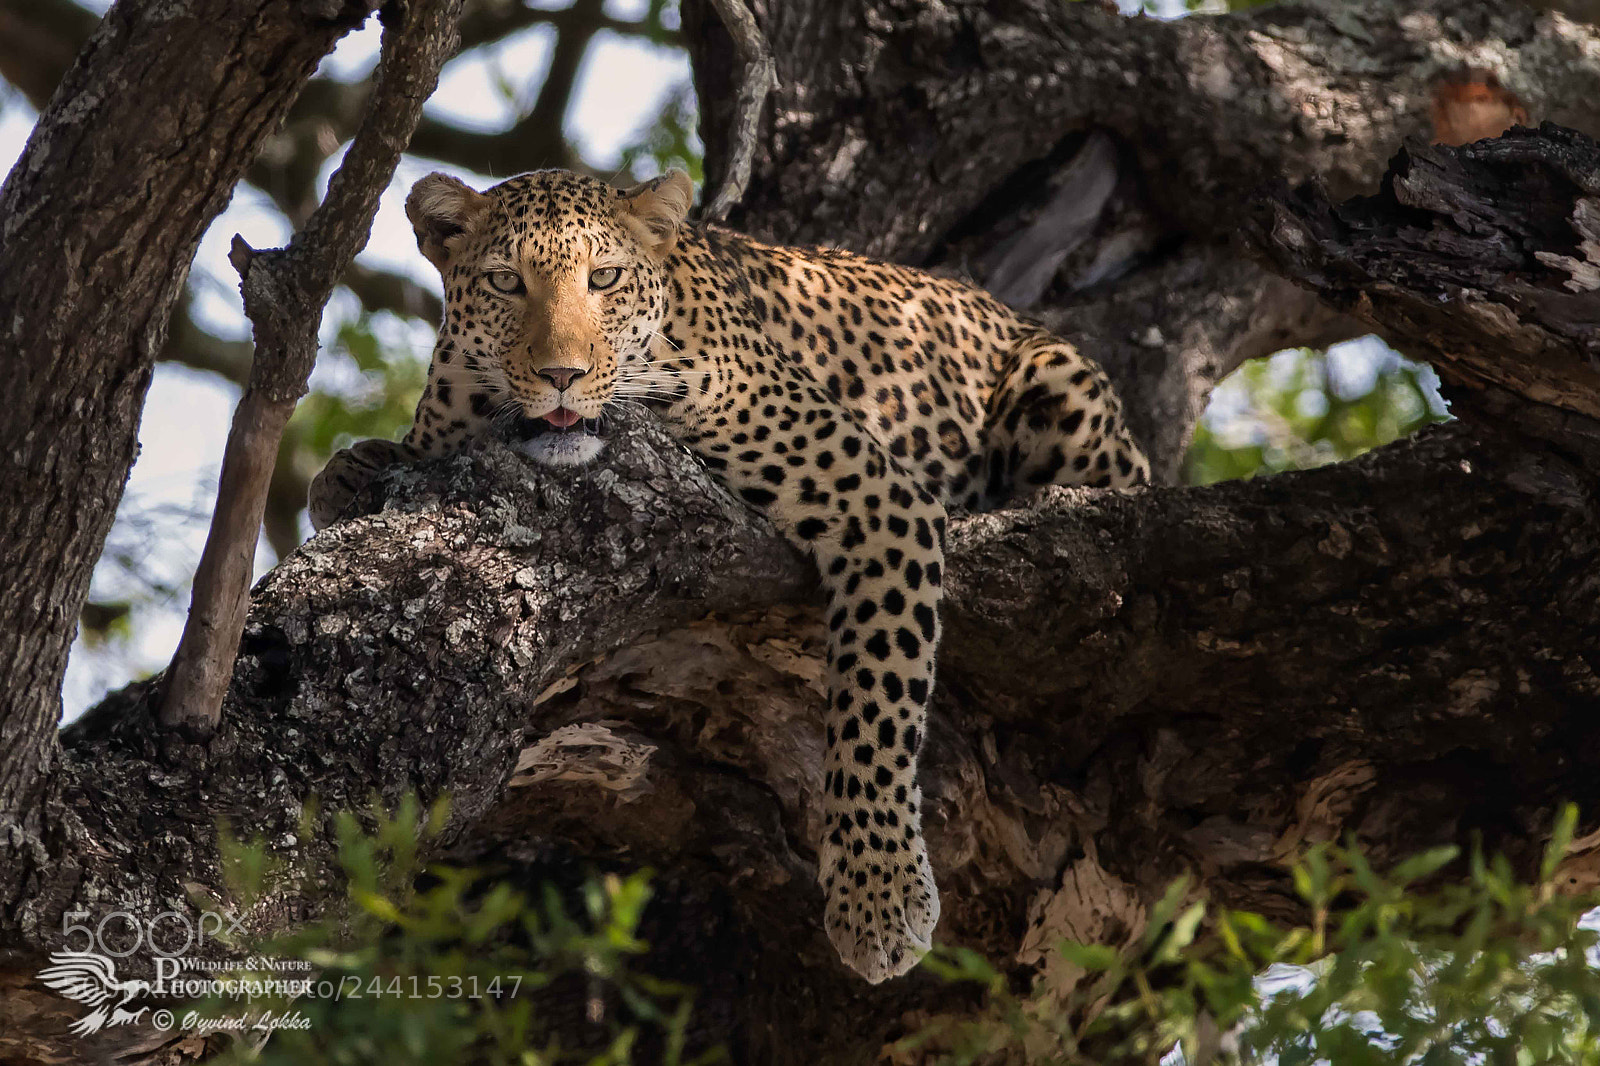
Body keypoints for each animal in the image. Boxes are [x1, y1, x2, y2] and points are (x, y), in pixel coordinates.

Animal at [308, 168, 1150, 983]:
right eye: (506, 282)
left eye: (604, 278)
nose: (560, 374)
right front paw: (350, 471)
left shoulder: (881, 495)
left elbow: (876, 702)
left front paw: (878, 897)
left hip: (1060, 388)